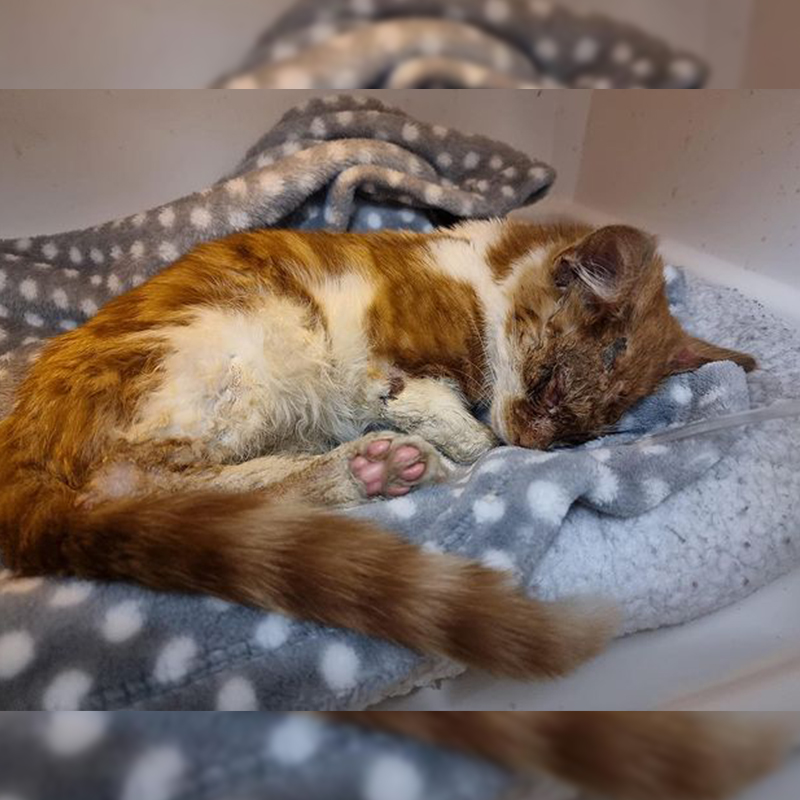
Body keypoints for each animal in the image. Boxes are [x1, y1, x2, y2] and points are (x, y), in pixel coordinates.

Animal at [0, 220, 752, 680]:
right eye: (547, 384)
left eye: (577, 436)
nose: (537, 444)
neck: (478, 275)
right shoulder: (390, 368)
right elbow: (467, 428)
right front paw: (464, 447)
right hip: (240, 352)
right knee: (151, 486)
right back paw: (381, 466)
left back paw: (369, 470)